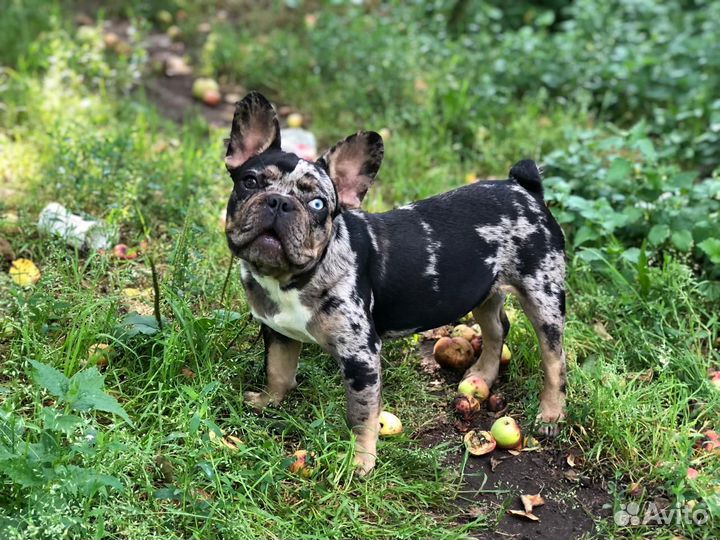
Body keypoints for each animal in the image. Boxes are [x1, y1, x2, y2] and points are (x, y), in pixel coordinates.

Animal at [222, 92, 564, 472]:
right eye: (250, 182)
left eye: (318, 204)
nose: (279, 202)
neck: (291, 277)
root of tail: (525, 189)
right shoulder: (278, 331)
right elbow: (278, 371)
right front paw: (267, 402)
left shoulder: (360, 356)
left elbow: (361, 414)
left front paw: (360, 460)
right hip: (482, 292)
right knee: (496, 329)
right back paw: (482, 376)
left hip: (543, 295)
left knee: (554, 359)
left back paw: (550, 414)